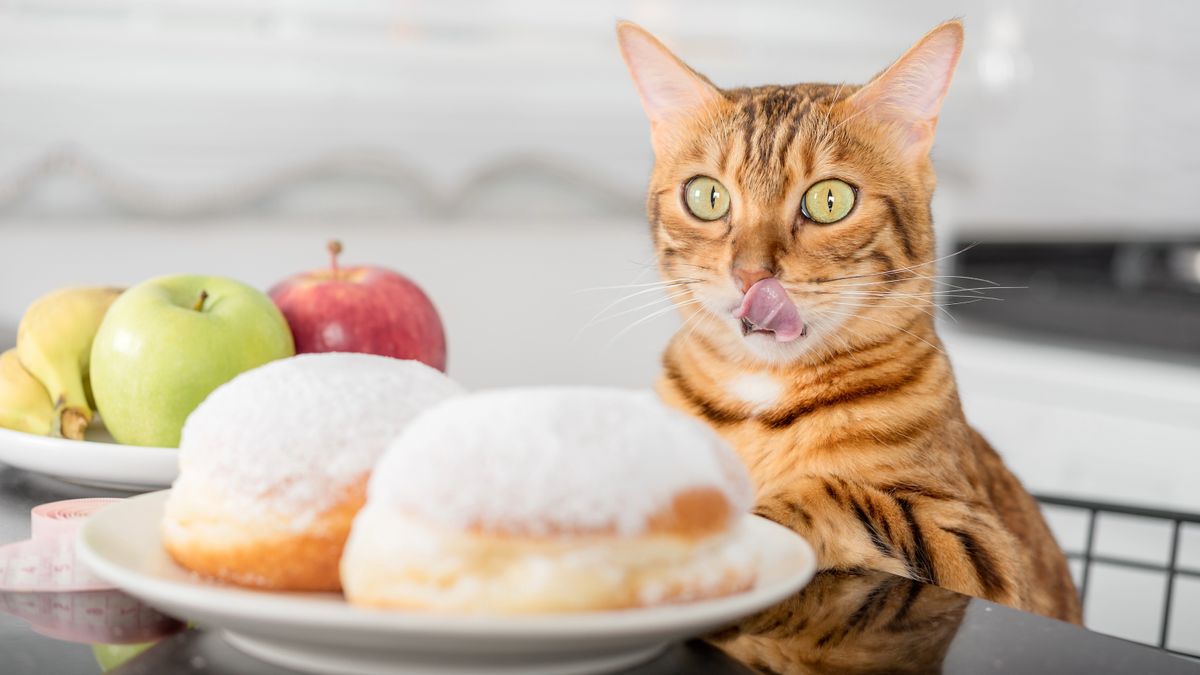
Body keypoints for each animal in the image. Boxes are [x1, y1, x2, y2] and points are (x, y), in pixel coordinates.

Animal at [614, 18, 1084, 624]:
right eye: (707, 196)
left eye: (830, 199)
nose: (750, 275)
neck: (761, 399)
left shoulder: (987, 551)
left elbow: (842, 496)